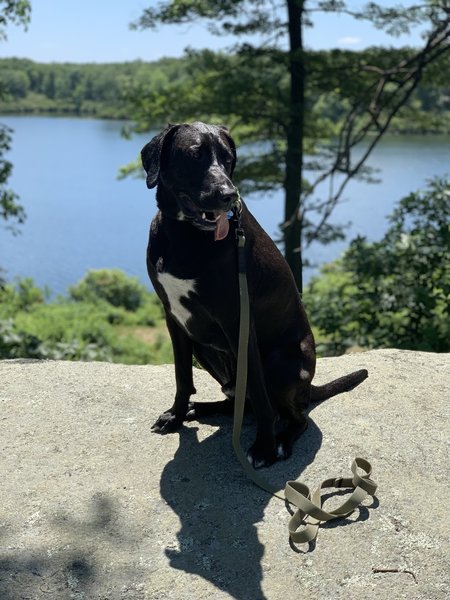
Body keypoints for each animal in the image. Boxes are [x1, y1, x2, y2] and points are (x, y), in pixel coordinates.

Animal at [142, 122, 370, 468]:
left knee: (292, 415)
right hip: (206, 350)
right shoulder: (174, 320)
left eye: (228, 158)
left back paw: (282, 440)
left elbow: (262, 400)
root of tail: (309, 387)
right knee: (238, 400)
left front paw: (263, 447)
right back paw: (203, 408)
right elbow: (183, 379)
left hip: (279, 364)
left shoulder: (238, 323)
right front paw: (176, 416)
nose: (228, 195)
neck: (185, 234)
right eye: (194, 154)